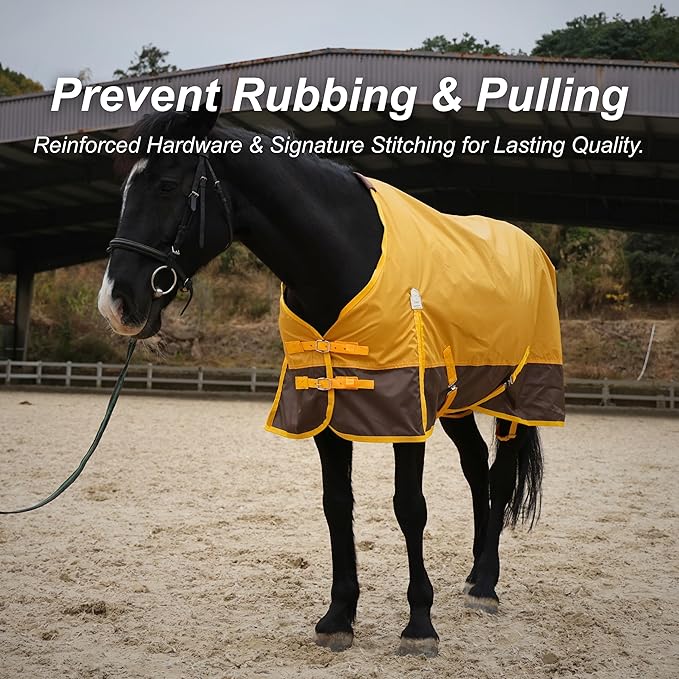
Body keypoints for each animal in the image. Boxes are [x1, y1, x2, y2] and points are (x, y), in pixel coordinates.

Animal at [98, 98, 564, 657]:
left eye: (167, 185)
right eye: (125, 190)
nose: (117, 302)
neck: (345, 260)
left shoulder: (405, 411)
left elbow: (409, 507)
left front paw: (419, 625)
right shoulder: (326, 405)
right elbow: (336, 505)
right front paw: (339, 616)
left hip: (514, 395)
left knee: (499, 473)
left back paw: (488, 585)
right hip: (457, 397)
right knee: (476, 467)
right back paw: (474, 574)